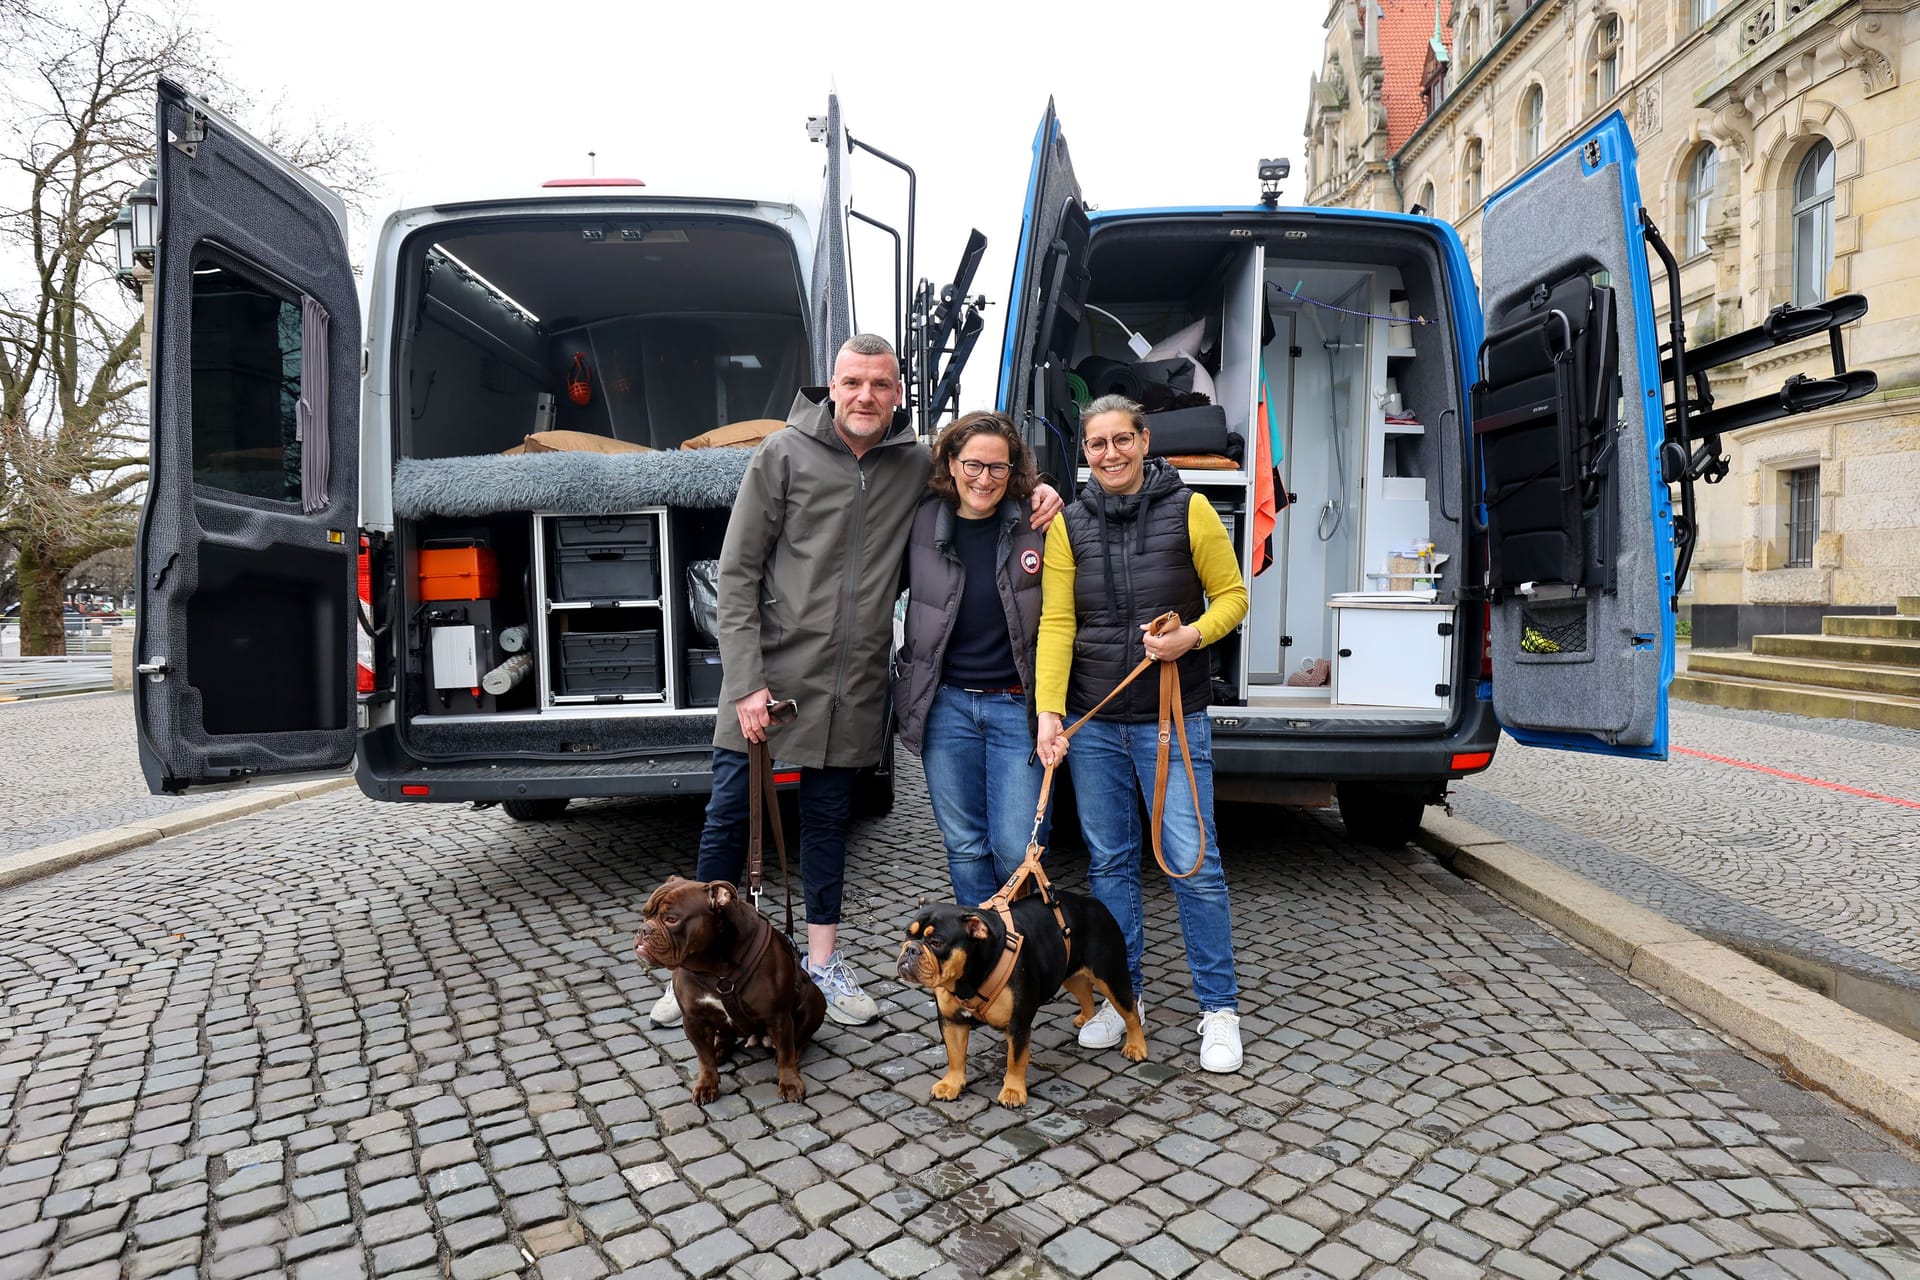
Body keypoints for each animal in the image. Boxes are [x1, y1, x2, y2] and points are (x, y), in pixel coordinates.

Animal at [633, 875, 821, 1105]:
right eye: (645, 914)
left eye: (671, 919)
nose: (643, 929)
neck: (712, 967)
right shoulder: (693, 1019)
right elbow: (704, 1059)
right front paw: (706, 1085)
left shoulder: (779, 1017)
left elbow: (786, 1053)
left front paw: (790, 1083)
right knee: (724, 1037)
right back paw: (719, 1050)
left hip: (814, 1002)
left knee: (799, 1039)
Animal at [894, 890, 1144, 1113]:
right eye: (907, 934)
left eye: (936, 942)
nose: (911, 949)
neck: (966, 980)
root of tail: (1093, 903)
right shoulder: (950, 1021)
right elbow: (955, 1055)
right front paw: (951, 1084)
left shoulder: (1018, 1024)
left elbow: (1015, 1060)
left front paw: (1013, 1091)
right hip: (1066, 971)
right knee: (1084, 990)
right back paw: (1086, 1018)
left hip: (1110, 975)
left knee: (1130, 1011)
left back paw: (1136, 1046)